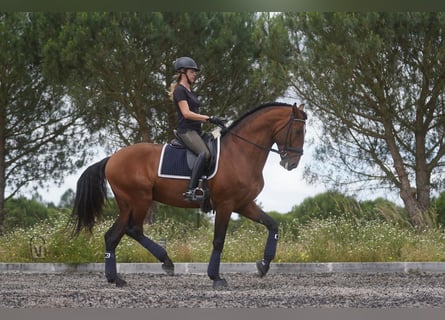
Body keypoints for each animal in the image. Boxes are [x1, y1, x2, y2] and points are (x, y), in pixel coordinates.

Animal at [70, 102, 306, 288]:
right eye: (297, 131)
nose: (292, 163)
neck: (241, 152)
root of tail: (112, 158)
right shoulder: (226, 204)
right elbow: (219, 240)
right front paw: (216, 277)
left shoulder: (243, 204)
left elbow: (272, 225)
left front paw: (263, 265)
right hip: (140, 199)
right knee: (133, 229)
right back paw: (166, 262)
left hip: (127, 203)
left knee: (112, 236)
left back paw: (116, 279)